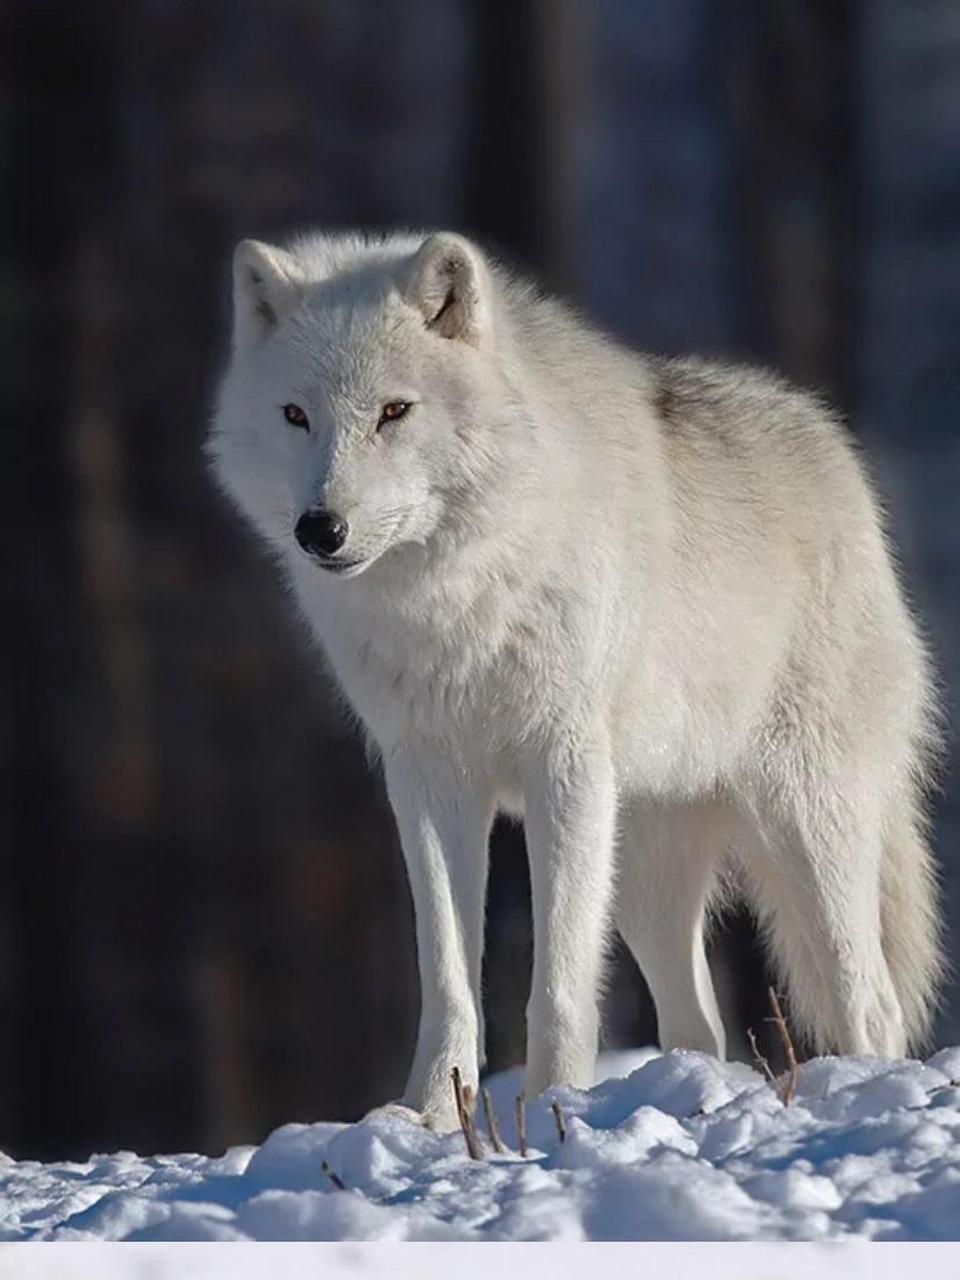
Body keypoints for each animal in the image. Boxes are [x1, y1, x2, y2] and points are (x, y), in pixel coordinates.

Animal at [208, 230, 942, 1131]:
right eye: (295, 416)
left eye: (393, 412)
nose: (321, 529)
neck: (457, 595)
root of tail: (838, 455)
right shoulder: (429, 780)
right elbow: (448, 978)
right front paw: (430, 1119)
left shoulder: (561, 766)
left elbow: (557, 984)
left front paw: (553, 1110)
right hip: (641, 868)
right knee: (698, 1023)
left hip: (801, 823)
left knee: (868, 1002)